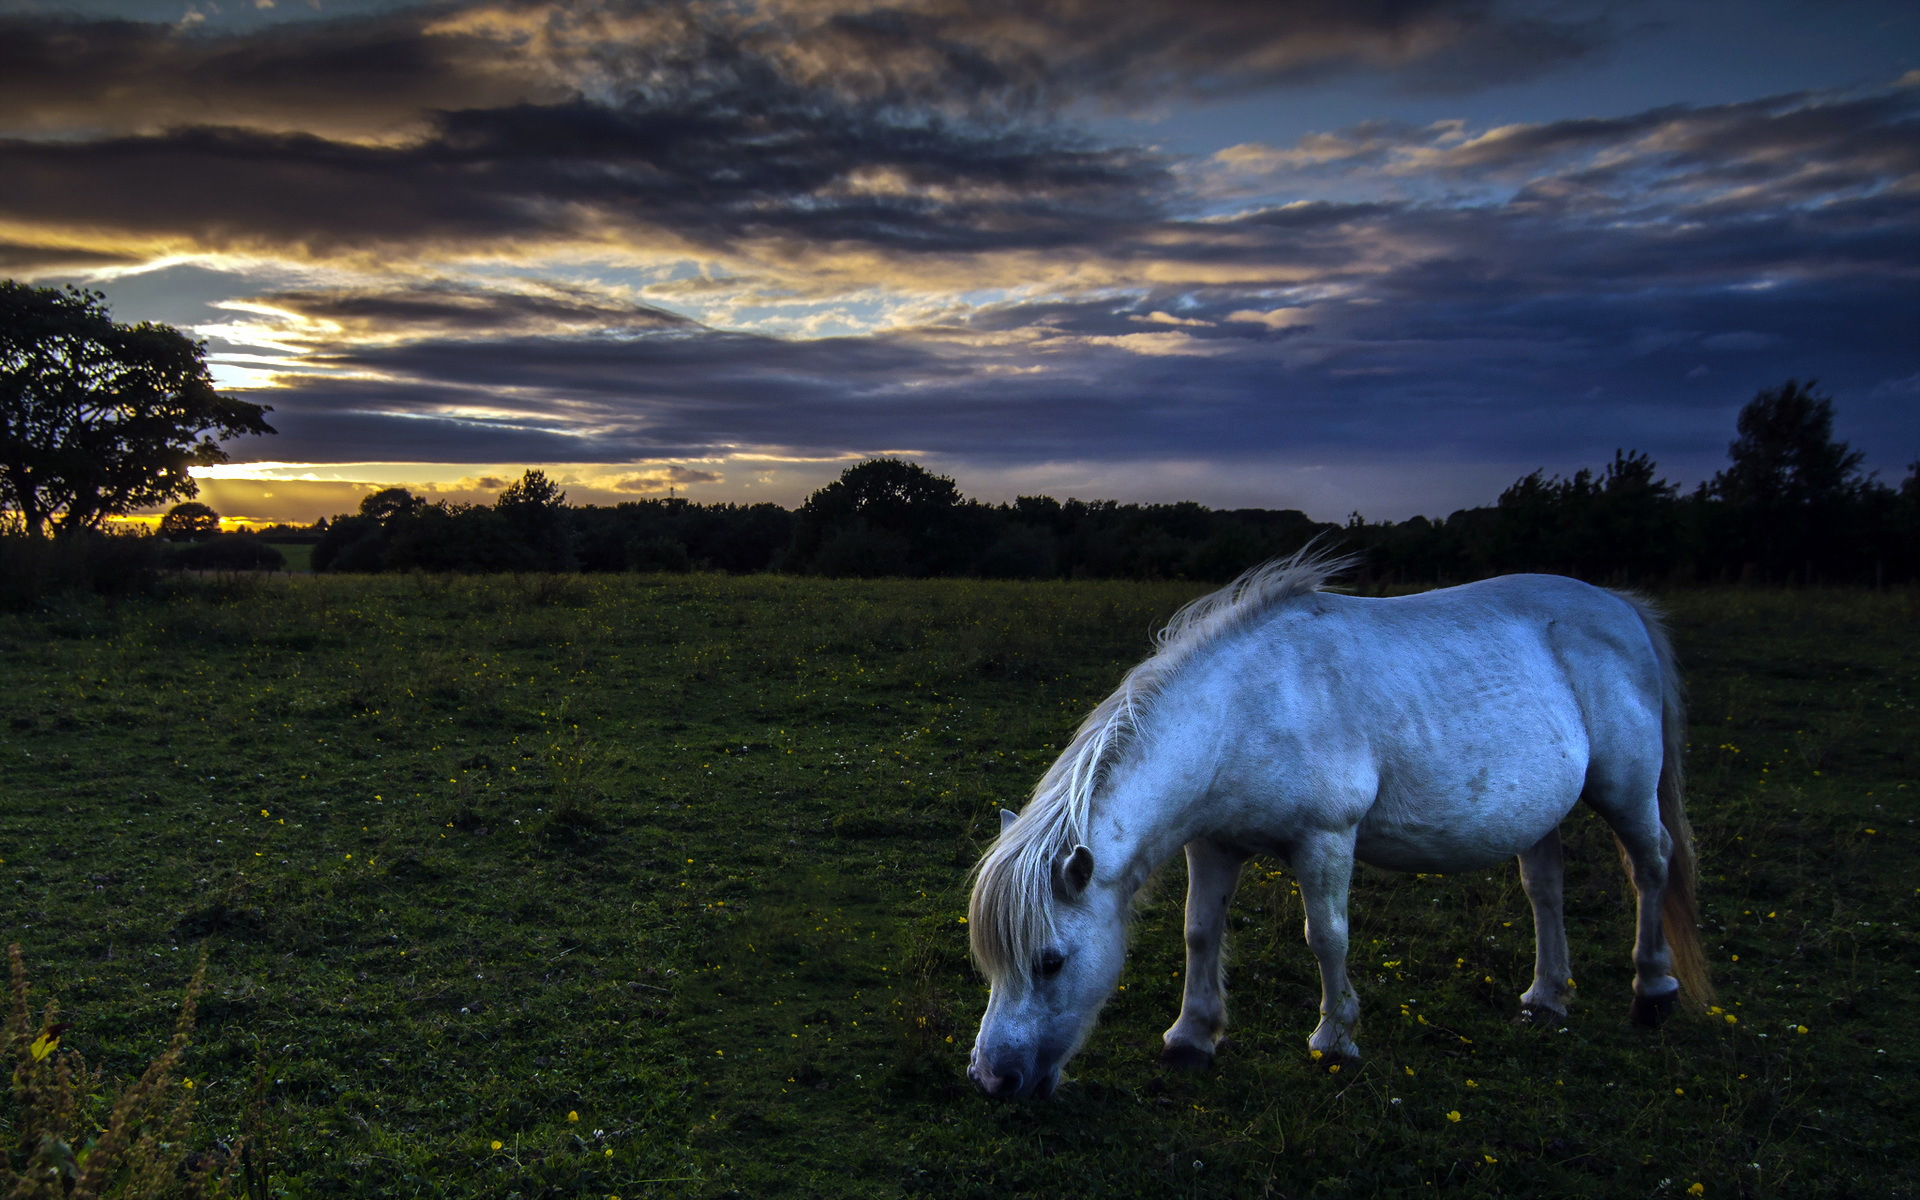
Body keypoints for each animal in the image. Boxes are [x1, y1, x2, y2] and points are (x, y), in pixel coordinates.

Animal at [975, 552, 1712, 1098]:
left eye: (1050, 961)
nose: (991, 1080)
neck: (1249, 706)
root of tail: (1622, 605)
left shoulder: (1326, 838)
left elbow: (1326, 937)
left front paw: (1335, 1041)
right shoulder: (1212, 845)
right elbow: (1199, 933)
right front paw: (1191, 1038)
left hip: (1625, 788)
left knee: (1652, 865)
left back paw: (1653, 991)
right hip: (1539, 813)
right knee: (1546, 891)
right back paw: (1547, 998)